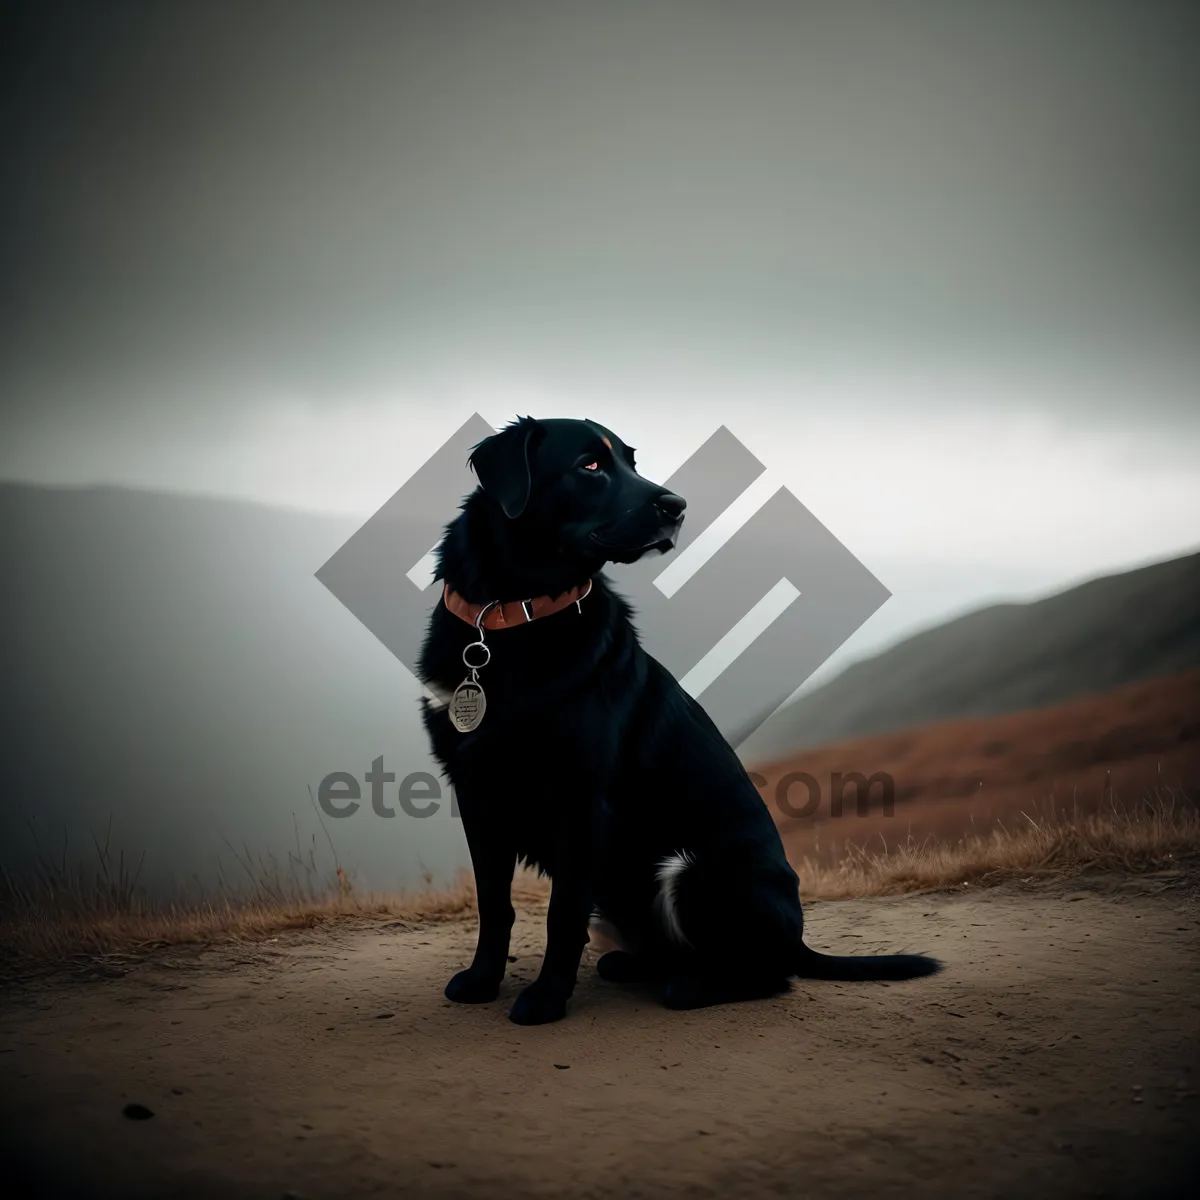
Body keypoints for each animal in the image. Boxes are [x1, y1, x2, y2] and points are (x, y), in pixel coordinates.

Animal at [420, 417, 936, 1027]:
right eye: (590, 466)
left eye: (632, 462)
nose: (677, 506)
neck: (509, 615)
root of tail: (798, 938)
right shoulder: (477, 791)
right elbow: (493, 905)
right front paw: (481, 981)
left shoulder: (581, 802)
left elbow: (561, 914)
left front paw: (545, 999)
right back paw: (631, 966)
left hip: (690, 872)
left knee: (765, 974)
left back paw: (689, 985)